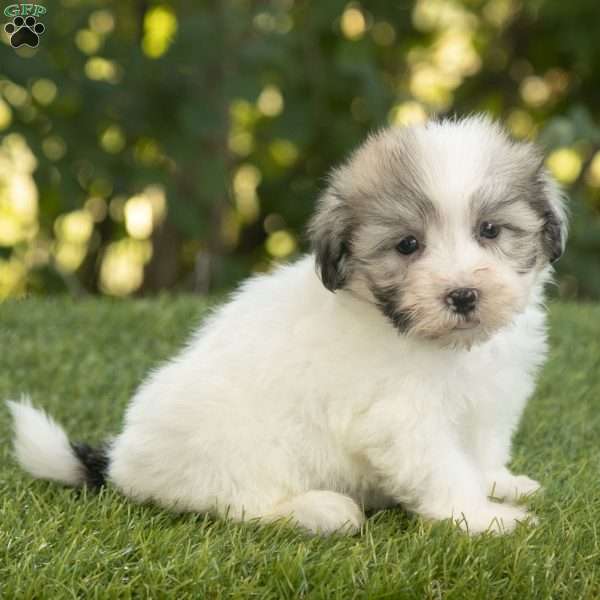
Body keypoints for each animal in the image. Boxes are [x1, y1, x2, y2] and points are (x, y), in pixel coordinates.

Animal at [8, 116, 568, 536]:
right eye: (408, 245)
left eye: (490, 230)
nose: (462, 295)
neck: (439, 344)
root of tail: (123, 462)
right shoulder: (402, 418)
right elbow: (443, 468)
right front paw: (481, 518)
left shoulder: (489, 399)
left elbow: (481, 448)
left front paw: (499, 484)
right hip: (238, 445)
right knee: (241, 506)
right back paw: (320, 511)